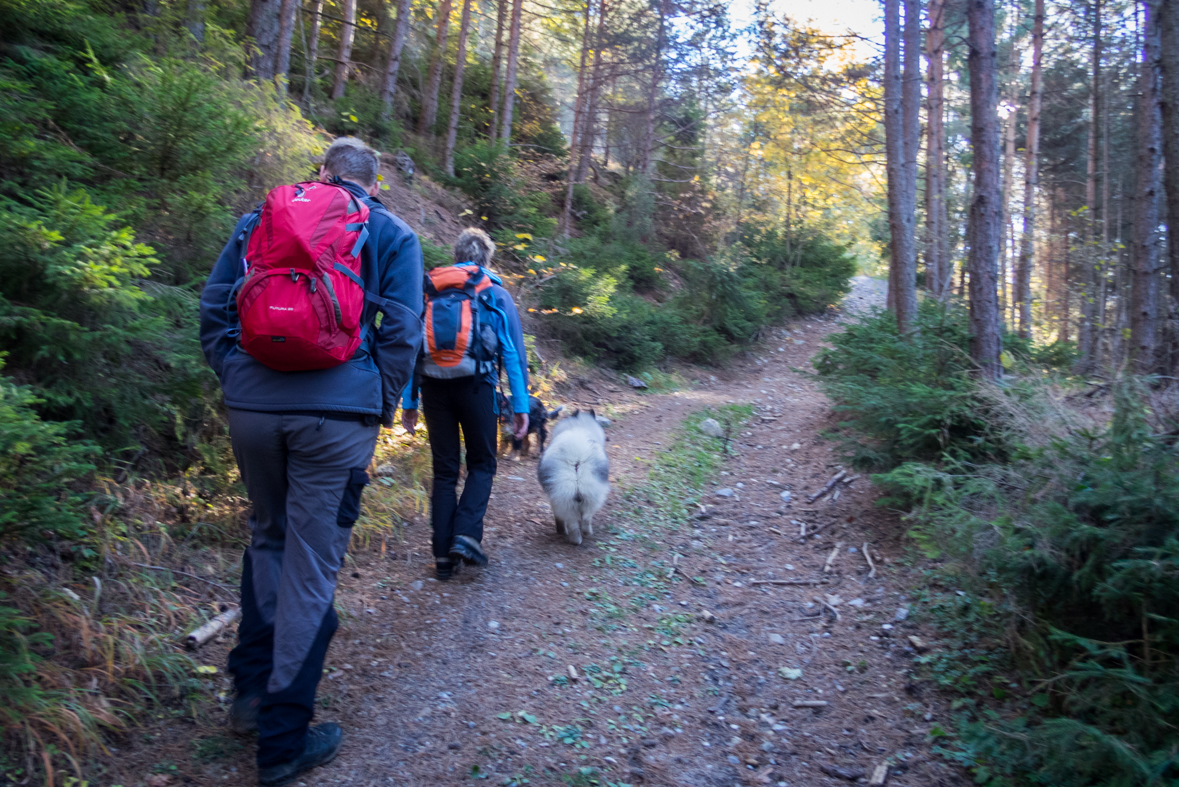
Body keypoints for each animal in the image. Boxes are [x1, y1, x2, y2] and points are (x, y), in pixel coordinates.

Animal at [535, 409, 608, 544]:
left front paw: (560, 530)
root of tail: (576, 459)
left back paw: (575, 539)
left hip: (564, 500)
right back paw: (586, 534)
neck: (579, 426)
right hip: (591, 496)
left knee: (573, 523)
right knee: (586, 518)